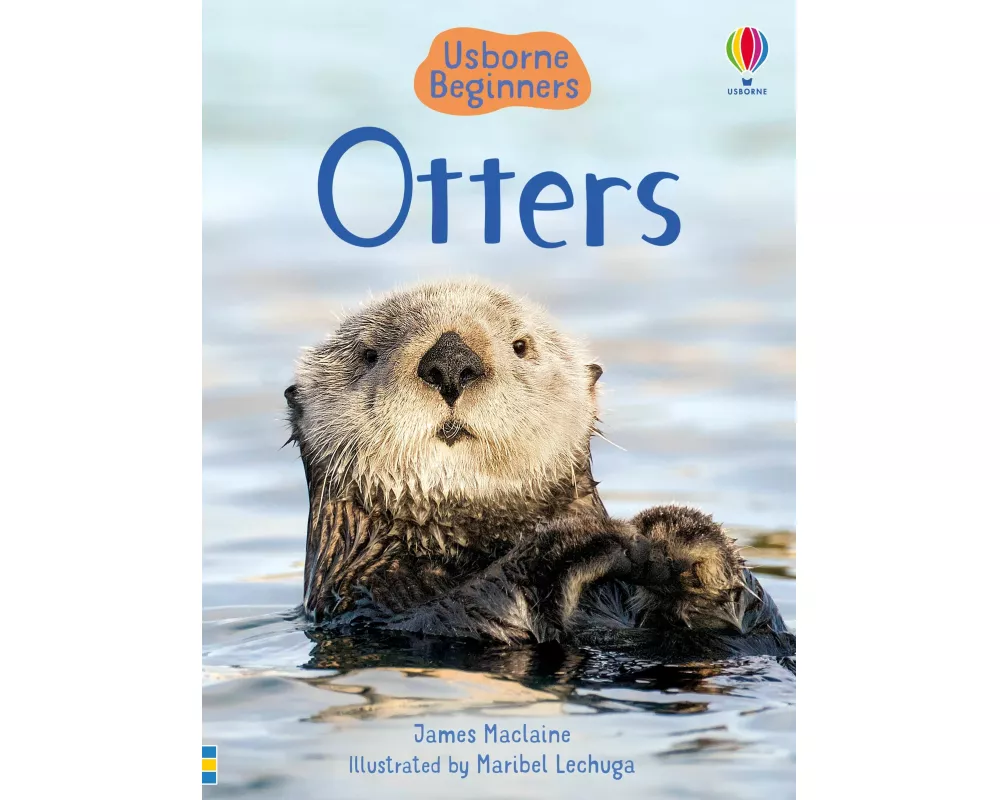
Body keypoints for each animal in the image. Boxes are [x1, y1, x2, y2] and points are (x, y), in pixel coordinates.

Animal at [285, 279, 793, 657]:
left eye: (520, 345)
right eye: (368, 354)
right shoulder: (366, 604)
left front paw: (682, 537)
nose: (450, 362)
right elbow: (458, 614)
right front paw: (584, 542)